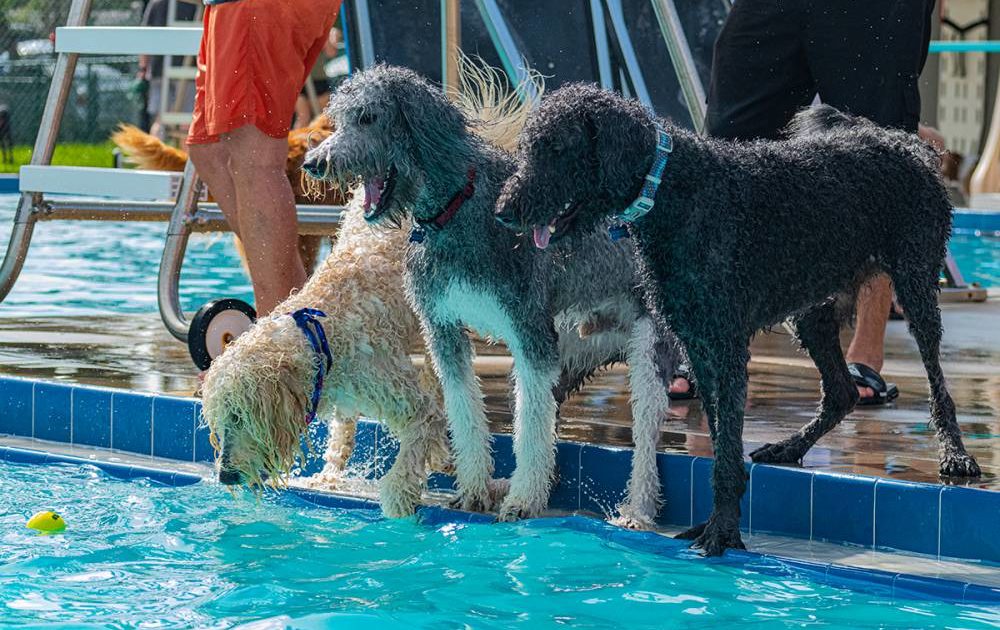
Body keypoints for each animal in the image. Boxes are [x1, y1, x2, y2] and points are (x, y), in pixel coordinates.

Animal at [302, 65, 680, 528]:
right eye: (339, 119)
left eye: (369, 117)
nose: (315, 163)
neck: (455, 210)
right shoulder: (443, 327)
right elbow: (466, 411)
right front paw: (475, 491)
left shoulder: (528, 331)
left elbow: (529, 427)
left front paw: (522, 502)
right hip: (571, 352)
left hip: (646, 348)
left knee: (644, 433)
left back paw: (637, 510)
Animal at [496, 84, 980, 556]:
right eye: (530, 147)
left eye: (557, 148)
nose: (503, 210)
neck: (671, 186)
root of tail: (902, 142)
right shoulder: (698, 343)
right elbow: (720, 445)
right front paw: (715, 523)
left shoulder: (725, 346)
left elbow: (727, 449)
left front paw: (723, 532)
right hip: (812, 312)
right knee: (841, 392)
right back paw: (790, 446)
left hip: (916, 284)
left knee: (937, 385)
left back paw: (955, 455)